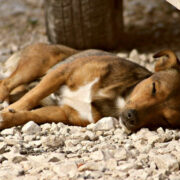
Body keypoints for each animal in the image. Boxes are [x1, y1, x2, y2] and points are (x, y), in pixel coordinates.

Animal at [0, 42, 179, 131]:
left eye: (165, 119)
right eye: (154, 88)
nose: (131, 118)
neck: (116, 98)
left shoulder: (66, 113)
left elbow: (32, 115)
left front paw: (8, 117)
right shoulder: (62, 72)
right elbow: (31, 98)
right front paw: (9, 111)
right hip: (37, 65)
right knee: (6, 84)